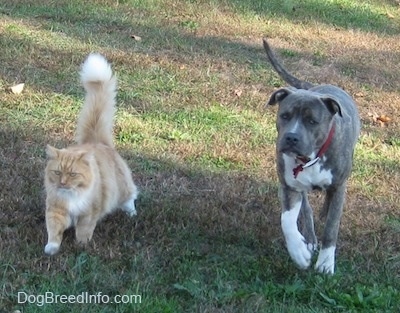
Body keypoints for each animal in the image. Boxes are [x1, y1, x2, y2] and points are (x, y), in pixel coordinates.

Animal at [44, 53, 139, 254]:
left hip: (123, 187)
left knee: (130, 197)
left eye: (73, 174)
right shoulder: (56, 210)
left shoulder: (88, 214)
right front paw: (51, 249)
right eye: (57, 172)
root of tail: (96, 141)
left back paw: (132, 214)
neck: (72, 196)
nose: (63, 183)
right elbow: (54, 232)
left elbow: (83, 232)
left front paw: (81, 246)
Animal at [264, 39, 360, 272]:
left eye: (312, 121)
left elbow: (332, 227)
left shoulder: (339, 186)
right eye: (285, 116)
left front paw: (325, 263)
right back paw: (308, 239)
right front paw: (299, 252)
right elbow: (287, 221)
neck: (310, 159)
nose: (291, 137)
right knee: (307, 211)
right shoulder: (289, 187)